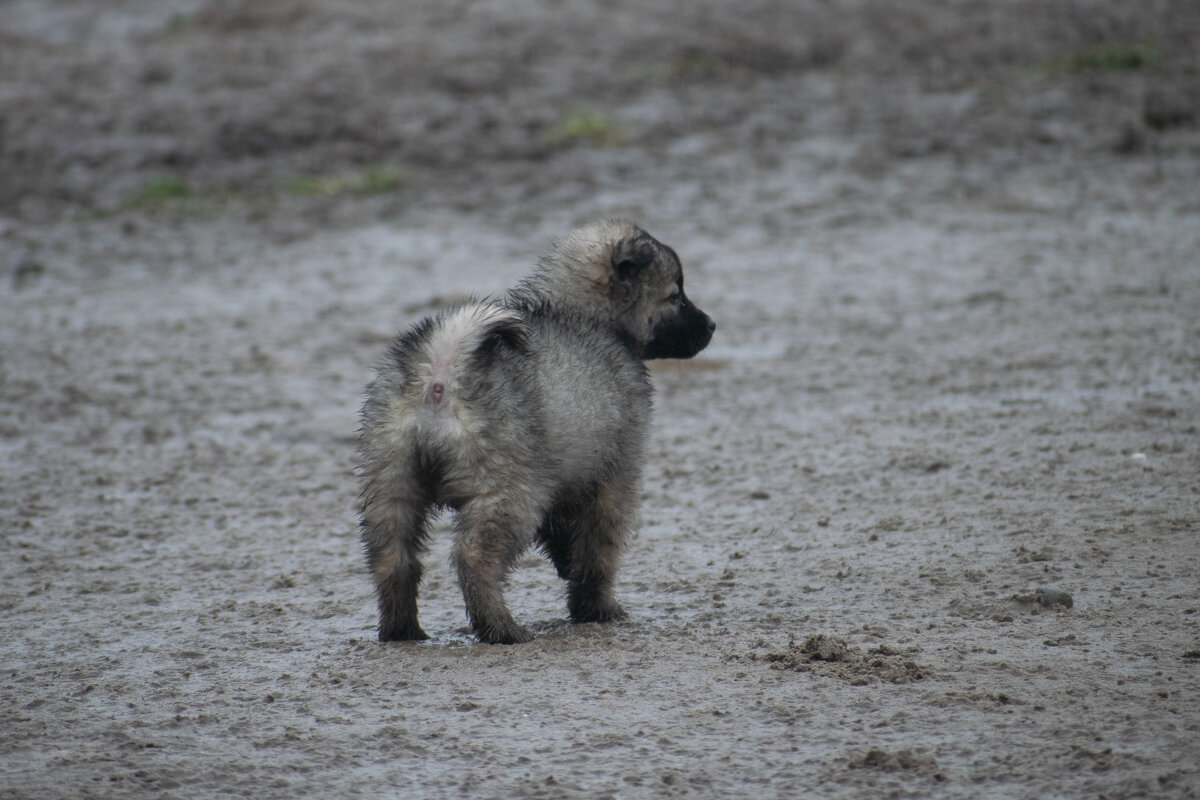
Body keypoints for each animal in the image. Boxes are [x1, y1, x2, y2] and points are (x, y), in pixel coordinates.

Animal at [352, 219, 710, 642]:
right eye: (675, 296)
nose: (711, 326)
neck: (587, 315)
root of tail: (444, 368)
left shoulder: (569, 474)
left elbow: (566, 538)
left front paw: (570, 572)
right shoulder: (616, 475)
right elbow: (599, 553)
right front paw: (598, 608)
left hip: (391, 484)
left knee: (392, 558)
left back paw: (402, 629)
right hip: (511, 489)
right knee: (474, 556)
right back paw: (501, 627)